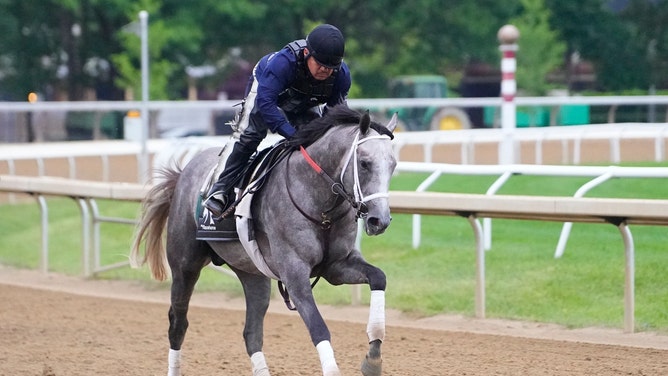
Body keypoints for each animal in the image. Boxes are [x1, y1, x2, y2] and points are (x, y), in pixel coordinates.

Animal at [130, 106, 396, 376]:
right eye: (364, 163)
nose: (380, 220)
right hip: (185, 265)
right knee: (178, 323)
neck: (320, 206)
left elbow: (379, 277)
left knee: (252, 333)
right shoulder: (294, 273)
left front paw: (373, 359)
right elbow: (318, 327)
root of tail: (184, 172)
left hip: (252, 274)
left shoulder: (337, 266)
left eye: (393, 165)